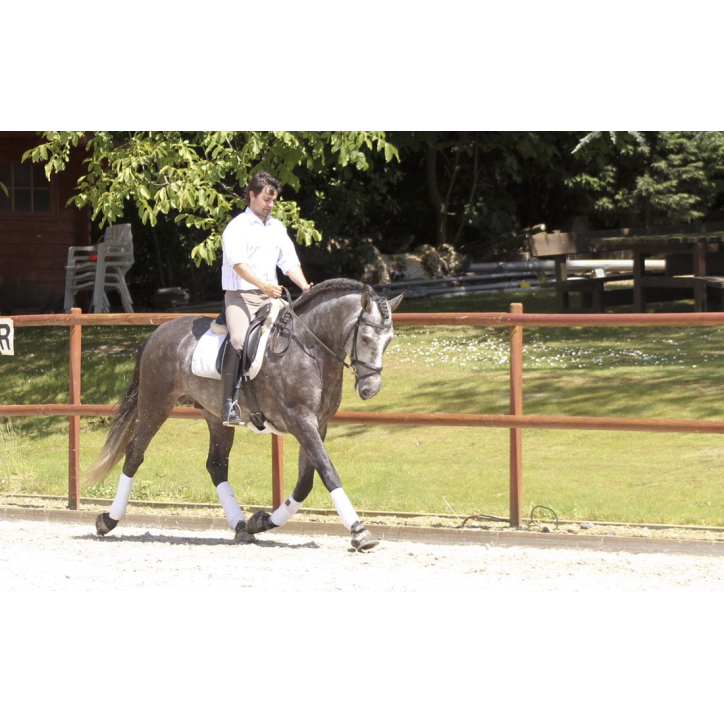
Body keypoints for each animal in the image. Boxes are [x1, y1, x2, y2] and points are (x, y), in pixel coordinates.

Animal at [86, 278, 403, 551]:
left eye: (388, 340)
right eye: (365, 337)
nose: (370, 389)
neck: (311, 350)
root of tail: (158, 332)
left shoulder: (318, 425)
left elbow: (305, 483)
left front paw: (259, 522)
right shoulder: (301, 421)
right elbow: (329, 473)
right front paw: (360, 533)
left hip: (215, 417)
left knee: (216, 466)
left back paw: (240, 526)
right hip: (155, 403)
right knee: (134, 454)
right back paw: (108, 521)